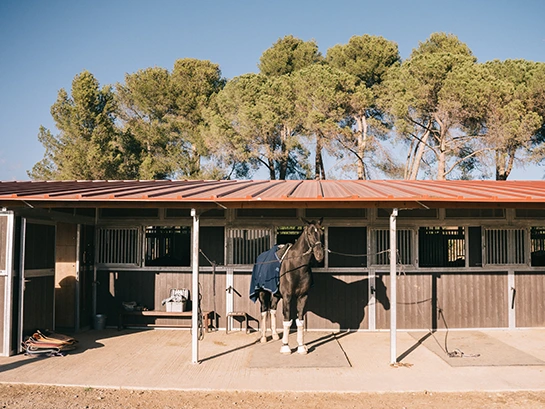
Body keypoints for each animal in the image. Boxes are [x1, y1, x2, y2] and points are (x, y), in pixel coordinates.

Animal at [251, 217, 324, 354]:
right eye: (309, 233)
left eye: (322, 233)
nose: (319, 255)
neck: (296, 266)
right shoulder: (287, 297)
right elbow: (287, 320)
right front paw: (285, 346)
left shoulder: (303, 296)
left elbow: (300, 321)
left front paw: (301, 347)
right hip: (263, 293)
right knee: (264, 311)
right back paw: (263, 337)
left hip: (276, 294)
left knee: (272, 309)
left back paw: (274, 335)